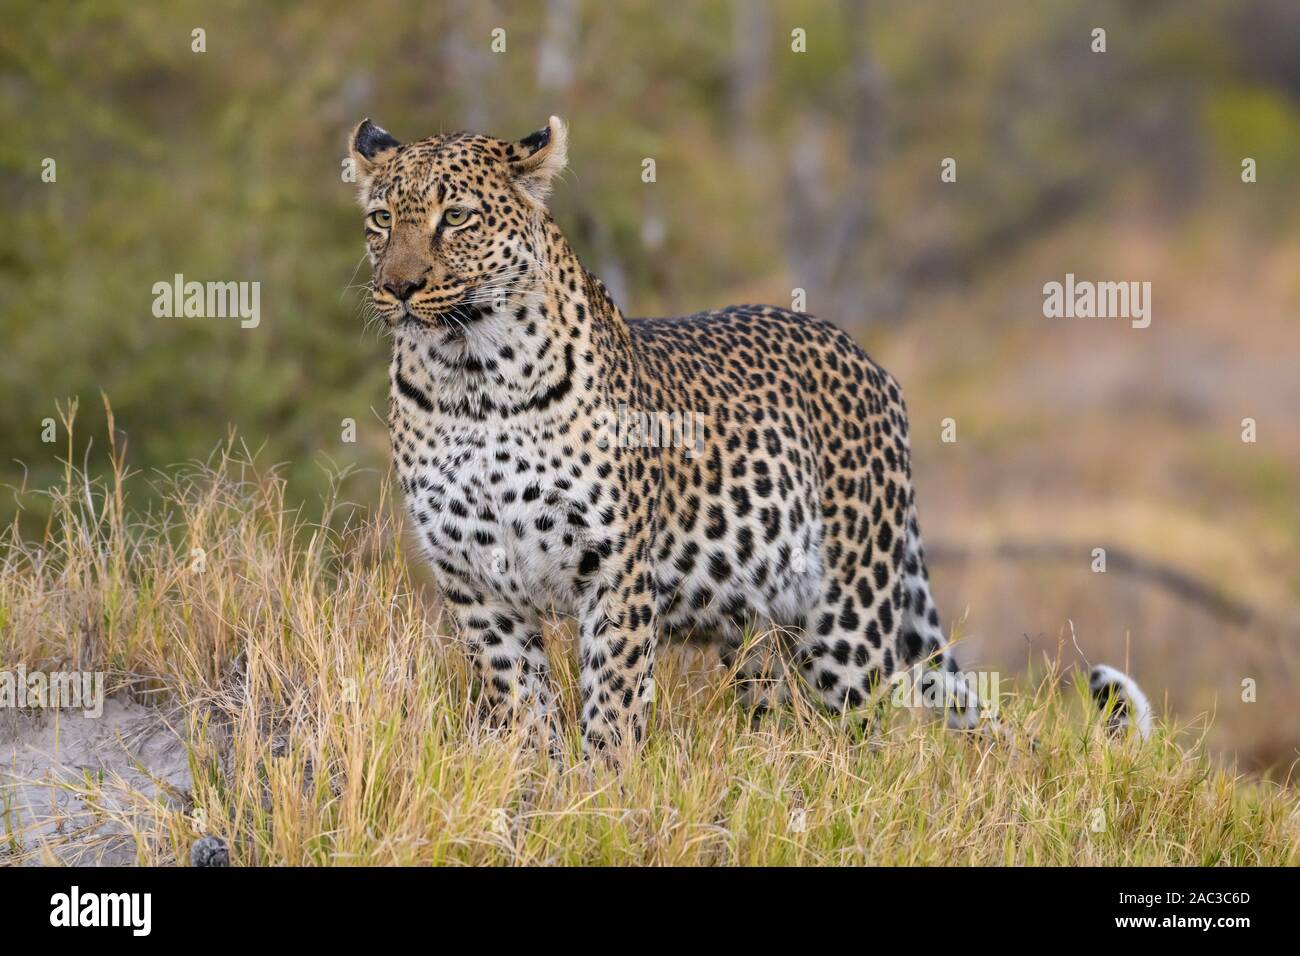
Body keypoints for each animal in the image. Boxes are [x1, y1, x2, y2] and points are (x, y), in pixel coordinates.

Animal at [347, 115, 1151, 757]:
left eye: (457, 217)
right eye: (381, 218)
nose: (400, 287)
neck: (471, 381)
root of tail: (868, 360)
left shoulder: (613, 572)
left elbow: (612, 707)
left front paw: (603, 797)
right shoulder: (475, 583)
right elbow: (525, 712)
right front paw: (542, 795)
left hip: (847, 623)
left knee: (867, 739)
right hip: (755, 634)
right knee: (776, 711)